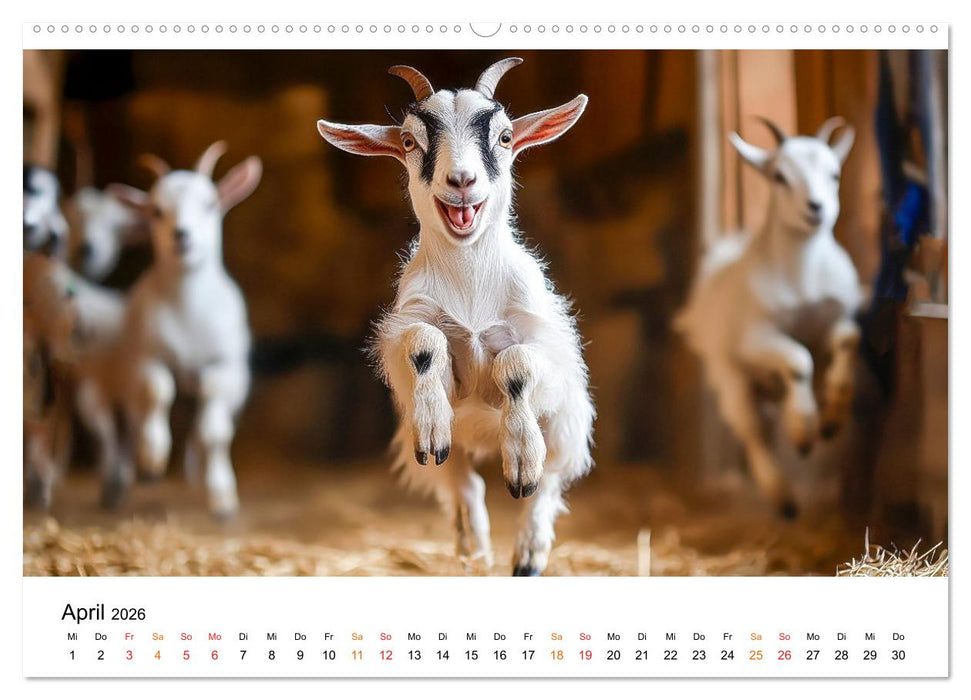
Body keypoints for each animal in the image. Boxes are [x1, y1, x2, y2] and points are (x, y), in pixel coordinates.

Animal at [108, 143, 262, 517]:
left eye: (209, 203)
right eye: (155, 211)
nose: (182, 235)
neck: (187, 311)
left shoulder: (227, 367)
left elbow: (214, 431)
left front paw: (221, 497)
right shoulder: (148, 357)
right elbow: (158, 390)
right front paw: (153, 456)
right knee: (129, 427)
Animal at [317, 58, 594, 575]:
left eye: (504, 137)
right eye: (410, 142)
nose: (462, 181)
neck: (471, 288)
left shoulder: (546, 352)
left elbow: (516, 365)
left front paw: (521, 457)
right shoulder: (414, 332)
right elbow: (424, 341)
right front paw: (432, 421)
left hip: (569, 423)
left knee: (548, 484)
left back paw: (528, 553)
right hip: (442, 447)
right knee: (464, 485)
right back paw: (475, 553)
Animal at [676, 117, 861, 517]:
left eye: (835, 174)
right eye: (779, 176)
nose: (815, 208)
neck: (803, 280)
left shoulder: (837, 315)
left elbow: (847, 340)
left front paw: (832, 417)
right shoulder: (754, 336)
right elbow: (798, 359)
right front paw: (805, 433)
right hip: (730, 377)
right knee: (752, 432)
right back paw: (783, 498)